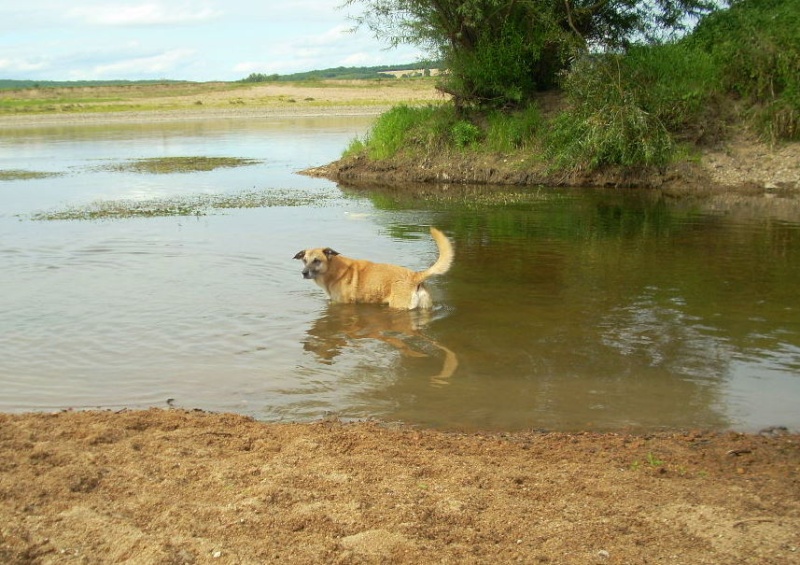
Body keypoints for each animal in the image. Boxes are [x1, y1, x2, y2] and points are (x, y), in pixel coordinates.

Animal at [296, 227, 456, 310]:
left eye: (316, 261)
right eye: (304, 260)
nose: (303, 273)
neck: (334, 271)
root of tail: (415, 276)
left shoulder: (344, 303)